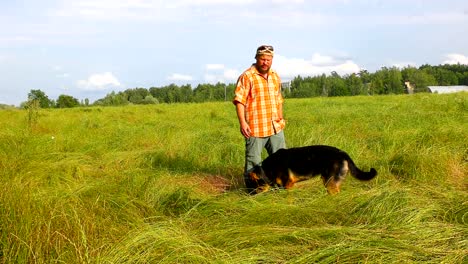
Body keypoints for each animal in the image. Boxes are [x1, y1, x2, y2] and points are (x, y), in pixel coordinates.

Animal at [247, 144, 378, 194]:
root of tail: (343, 153)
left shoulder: (288, 185)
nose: (251, 195)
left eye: (255, 184)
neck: (269, 168)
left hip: (330, 183)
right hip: (328, 181)